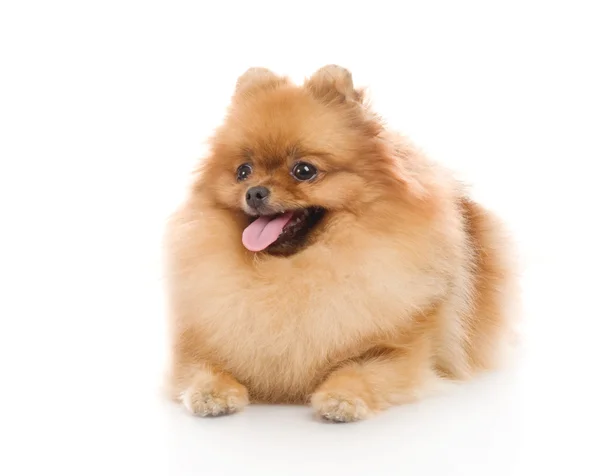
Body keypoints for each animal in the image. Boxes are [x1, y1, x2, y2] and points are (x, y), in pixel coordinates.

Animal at [163, 65, 516, 422]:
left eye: (304, 170)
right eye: (243, 172)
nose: (254, 192)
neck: (289, 273)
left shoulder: (402, 351)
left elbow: (360, 370)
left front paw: (341, 398)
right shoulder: (197, 343)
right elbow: (204, 366)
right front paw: (211, 393)